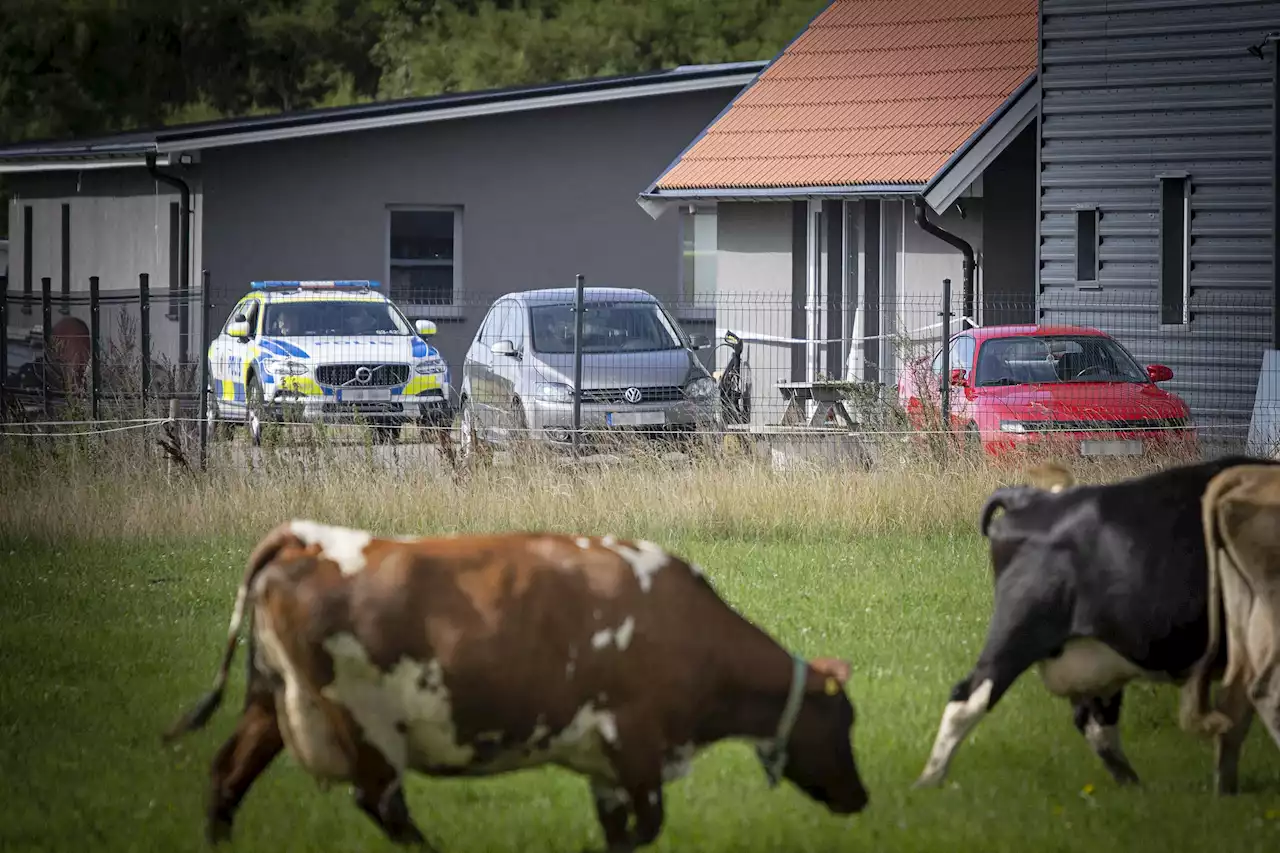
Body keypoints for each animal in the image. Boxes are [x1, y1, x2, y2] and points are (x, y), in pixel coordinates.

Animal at [160, 517, 870, 845]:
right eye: (846, 720)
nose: (861, 798)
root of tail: (310, 539)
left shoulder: (607, 769)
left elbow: (622, 836)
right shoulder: (634, 747)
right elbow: (645, 827)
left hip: (270, 703)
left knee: (226, 778)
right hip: (363, 723)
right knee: (384, 806)